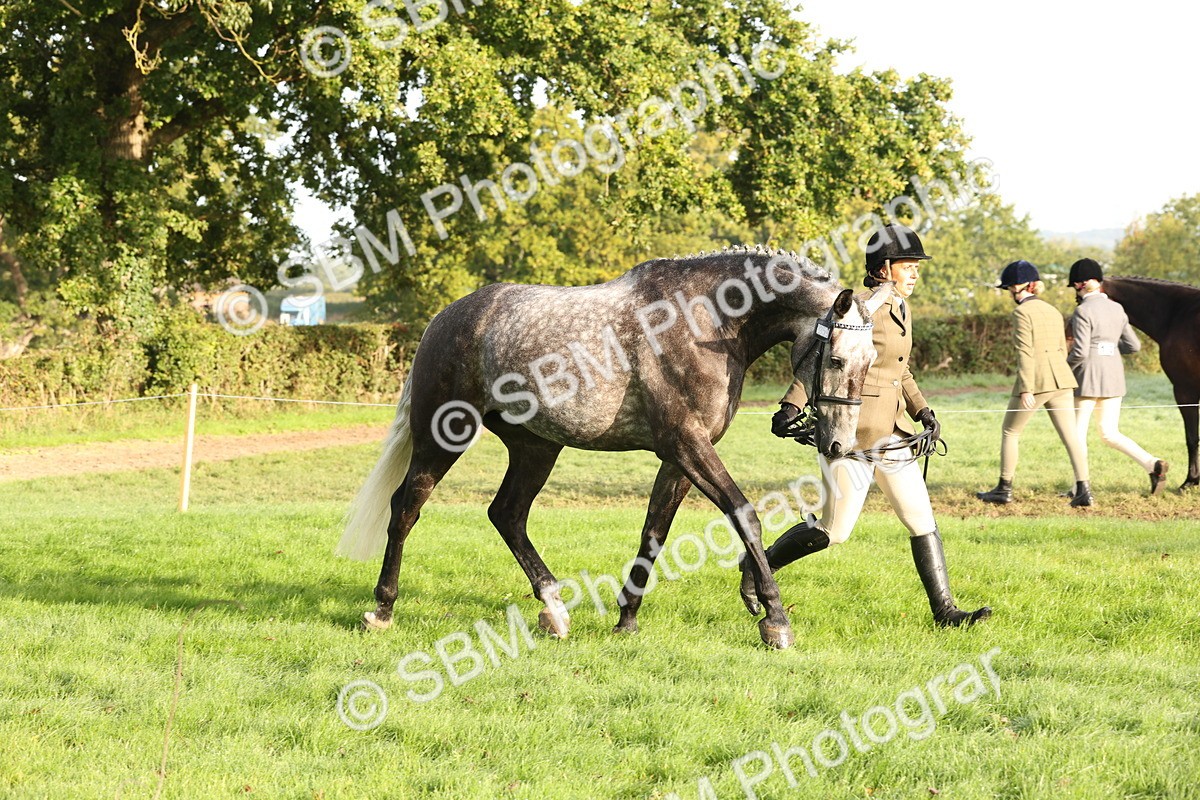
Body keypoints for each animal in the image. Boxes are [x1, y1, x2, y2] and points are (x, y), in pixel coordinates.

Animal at [336, 247, 892, 649]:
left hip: (536, 447)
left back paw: (555, 611)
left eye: (872, 361)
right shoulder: (687, 444)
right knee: (406, 507)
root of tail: (445, 319)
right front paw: (774, 618)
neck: (706, 321)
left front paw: (626, 619)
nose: (838, 443)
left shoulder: (679, 456)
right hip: (445, 435)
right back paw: (382, 609)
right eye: (837, 359)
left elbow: (654, 533)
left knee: (507, 514)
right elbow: (744, 515)